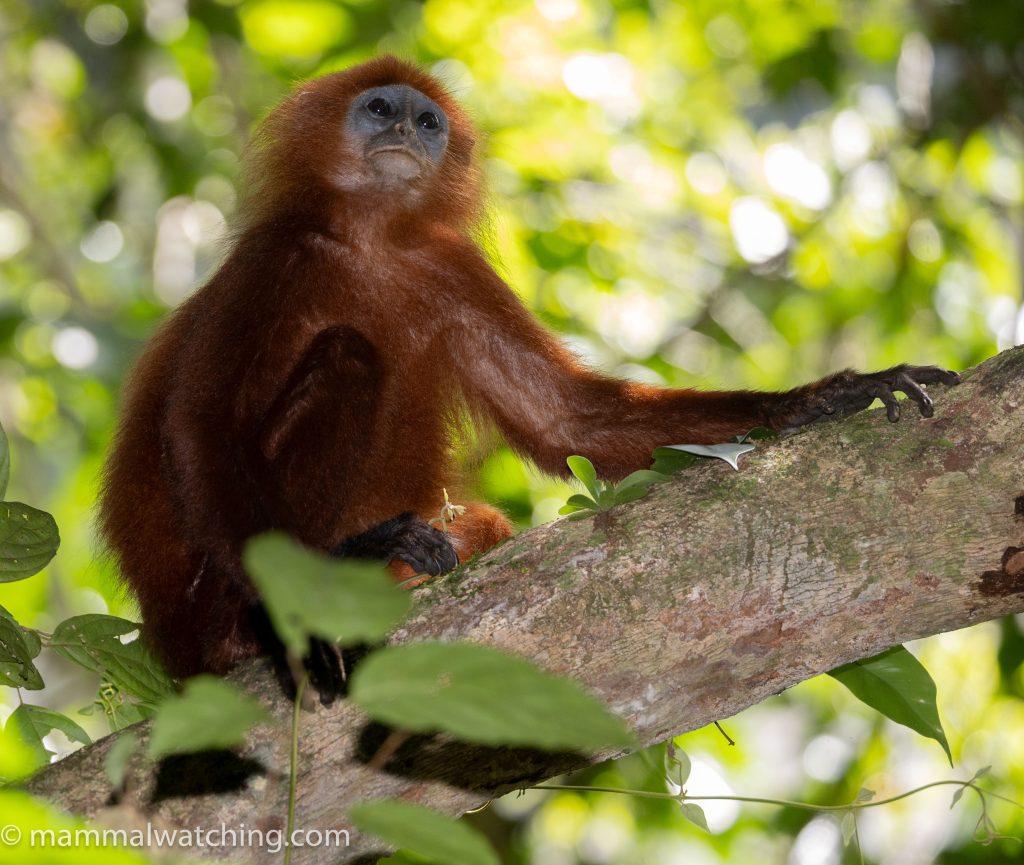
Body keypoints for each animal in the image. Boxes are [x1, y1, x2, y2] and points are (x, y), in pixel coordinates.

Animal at [100, 56, 959, 702]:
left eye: (427, 122)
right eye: (379, 109)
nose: (405, 132)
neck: (370, 238)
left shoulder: (448, 264)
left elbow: (568, 419)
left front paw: (825, 397)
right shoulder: (275, 254)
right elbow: (202, 421)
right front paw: (285, 626)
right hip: (205, 596)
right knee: (346, 354)